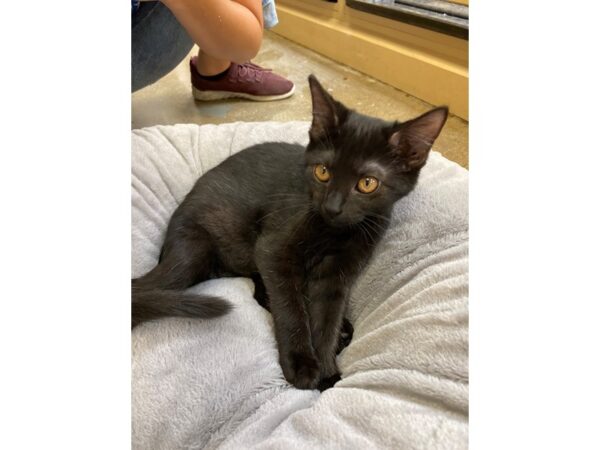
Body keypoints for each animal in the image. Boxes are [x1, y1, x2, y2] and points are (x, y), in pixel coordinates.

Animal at [132, 75, 448, 390]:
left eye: (367, 183)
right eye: (322, 172)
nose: (332, 207)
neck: (333, 232)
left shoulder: (339, 273)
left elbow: (327, 317)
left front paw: (327, 372)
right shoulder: (273, 250)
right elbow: (291, 307)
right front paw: (302, 364)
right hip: (193, 251)